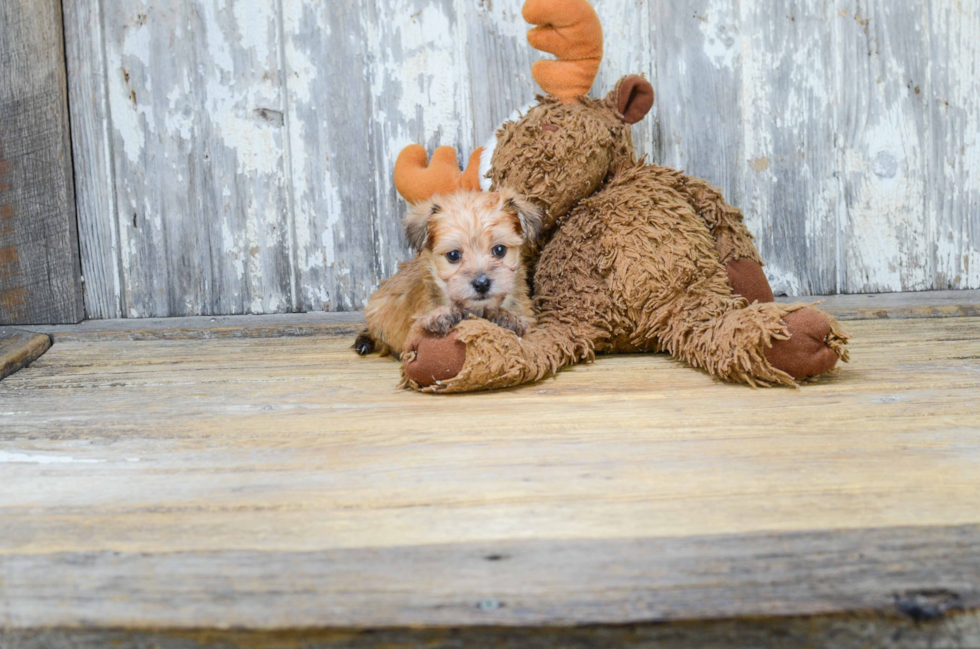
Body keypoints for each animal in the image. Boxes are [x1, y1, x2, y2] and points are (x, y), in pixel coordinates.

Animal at [356, 187, 544, 360]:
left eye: (499, 250)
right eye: (453, 255)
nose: (482, 283)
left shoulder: (529, 318)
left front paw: (508, 318)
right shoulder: (413, 328)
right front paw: (439, 316)